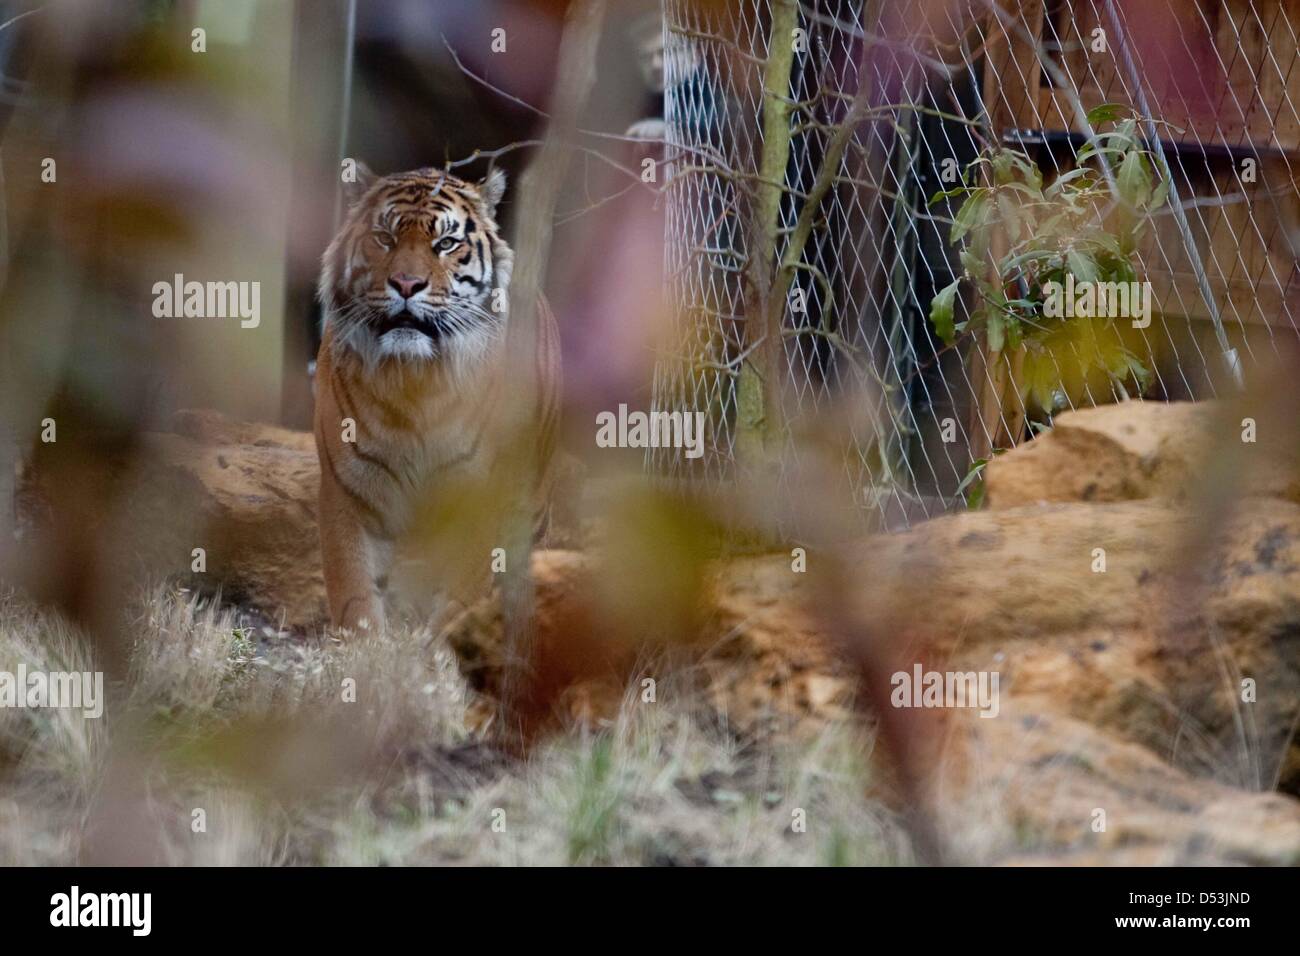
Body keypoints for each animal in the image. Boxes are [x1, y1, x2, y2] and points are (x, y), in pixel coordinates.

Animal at [317, 164, 561, 634]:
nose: (406, 284)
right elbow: (355, 591)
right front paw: (365, 645)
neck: (413, 380)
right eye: (385, 238)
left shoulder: (480, 499)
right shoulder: (347, 491)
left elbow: (460, 595)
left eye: (446, 243)